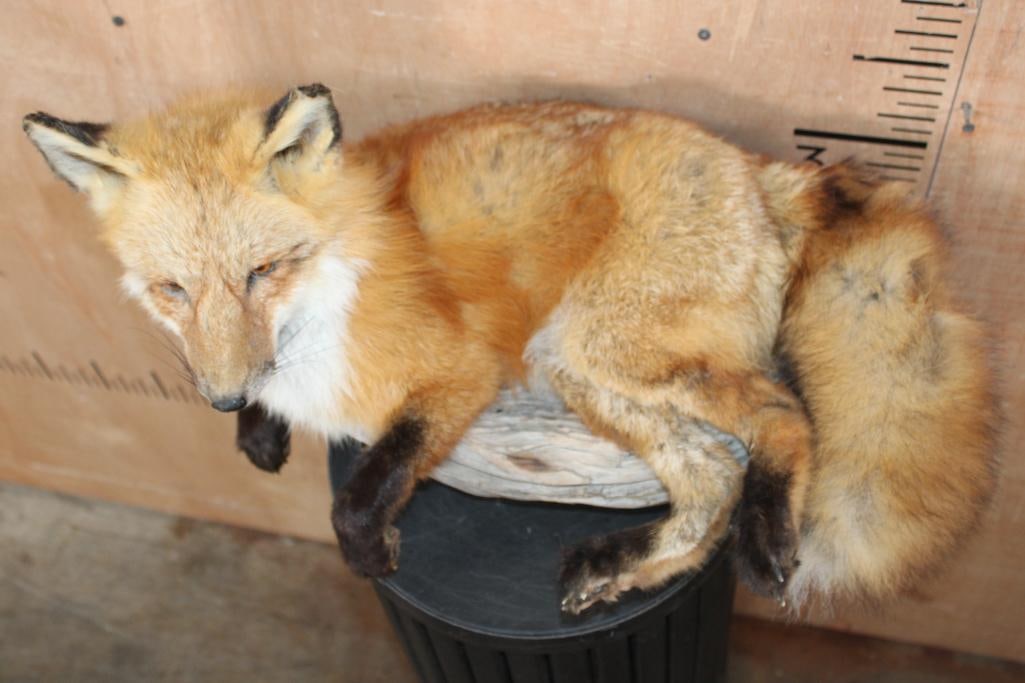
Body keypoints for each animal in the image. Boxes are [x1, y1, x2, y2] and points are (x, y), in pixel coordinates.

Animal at [23, 84, 998, 613]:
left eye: (265, 269)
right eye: (171, 290)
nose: (223, 398)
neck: (336, 282)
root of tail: (760, 169)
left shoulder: (460, 372)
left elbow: (364, 488)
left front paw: (370, 552)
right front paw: (258, 431)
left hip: (604, 346)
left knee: (782, 416)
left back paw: (764, 544)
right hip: (580, 366)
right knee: (709, 478)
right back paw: (620, 568)